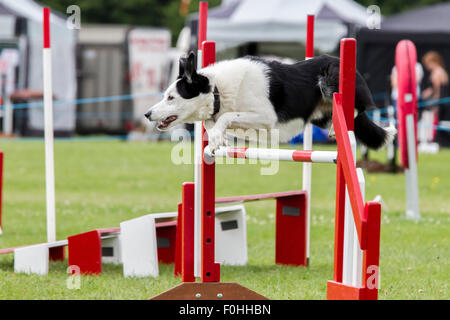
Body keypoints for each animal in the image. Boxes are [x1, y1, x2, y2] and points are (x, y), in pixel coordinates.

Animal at [146, 52, 396, 152]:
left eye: (171, 97)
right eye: (165, 95)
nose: (147, 114)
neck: (218, 90)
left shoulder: (266, 117)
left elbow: (227, 116)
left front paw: (217, 136)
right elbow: (215, 123)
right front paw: (218, 137)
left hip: (331, 77)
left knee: (360, 108)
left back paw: (339, 124)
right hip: (318, 116)